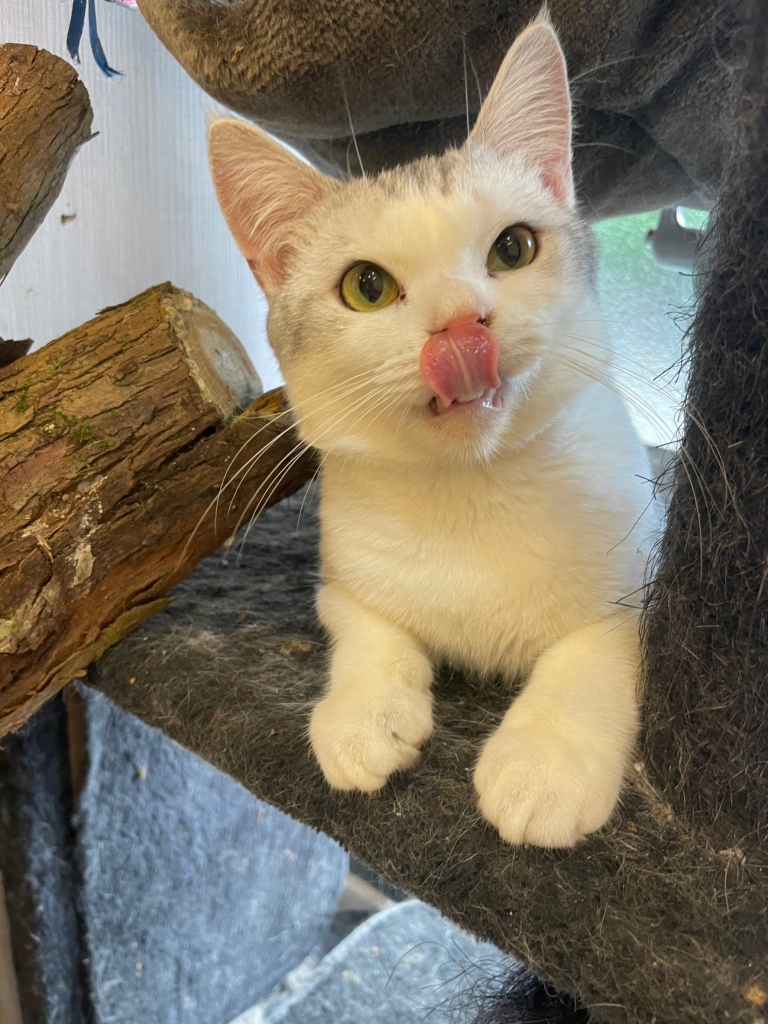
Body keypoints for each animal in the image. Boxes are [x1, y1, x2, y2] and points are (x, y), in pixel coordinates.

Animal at [207, 13, 660, 848]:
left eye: (513, 247)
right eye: (366, 286)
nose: (459, 325)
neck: (470, 492)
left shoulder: (643, 578)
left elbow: (594, 646)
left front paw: (546, 761)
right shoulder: (344, 572)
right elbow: (366, 628)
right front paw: (363, 716)